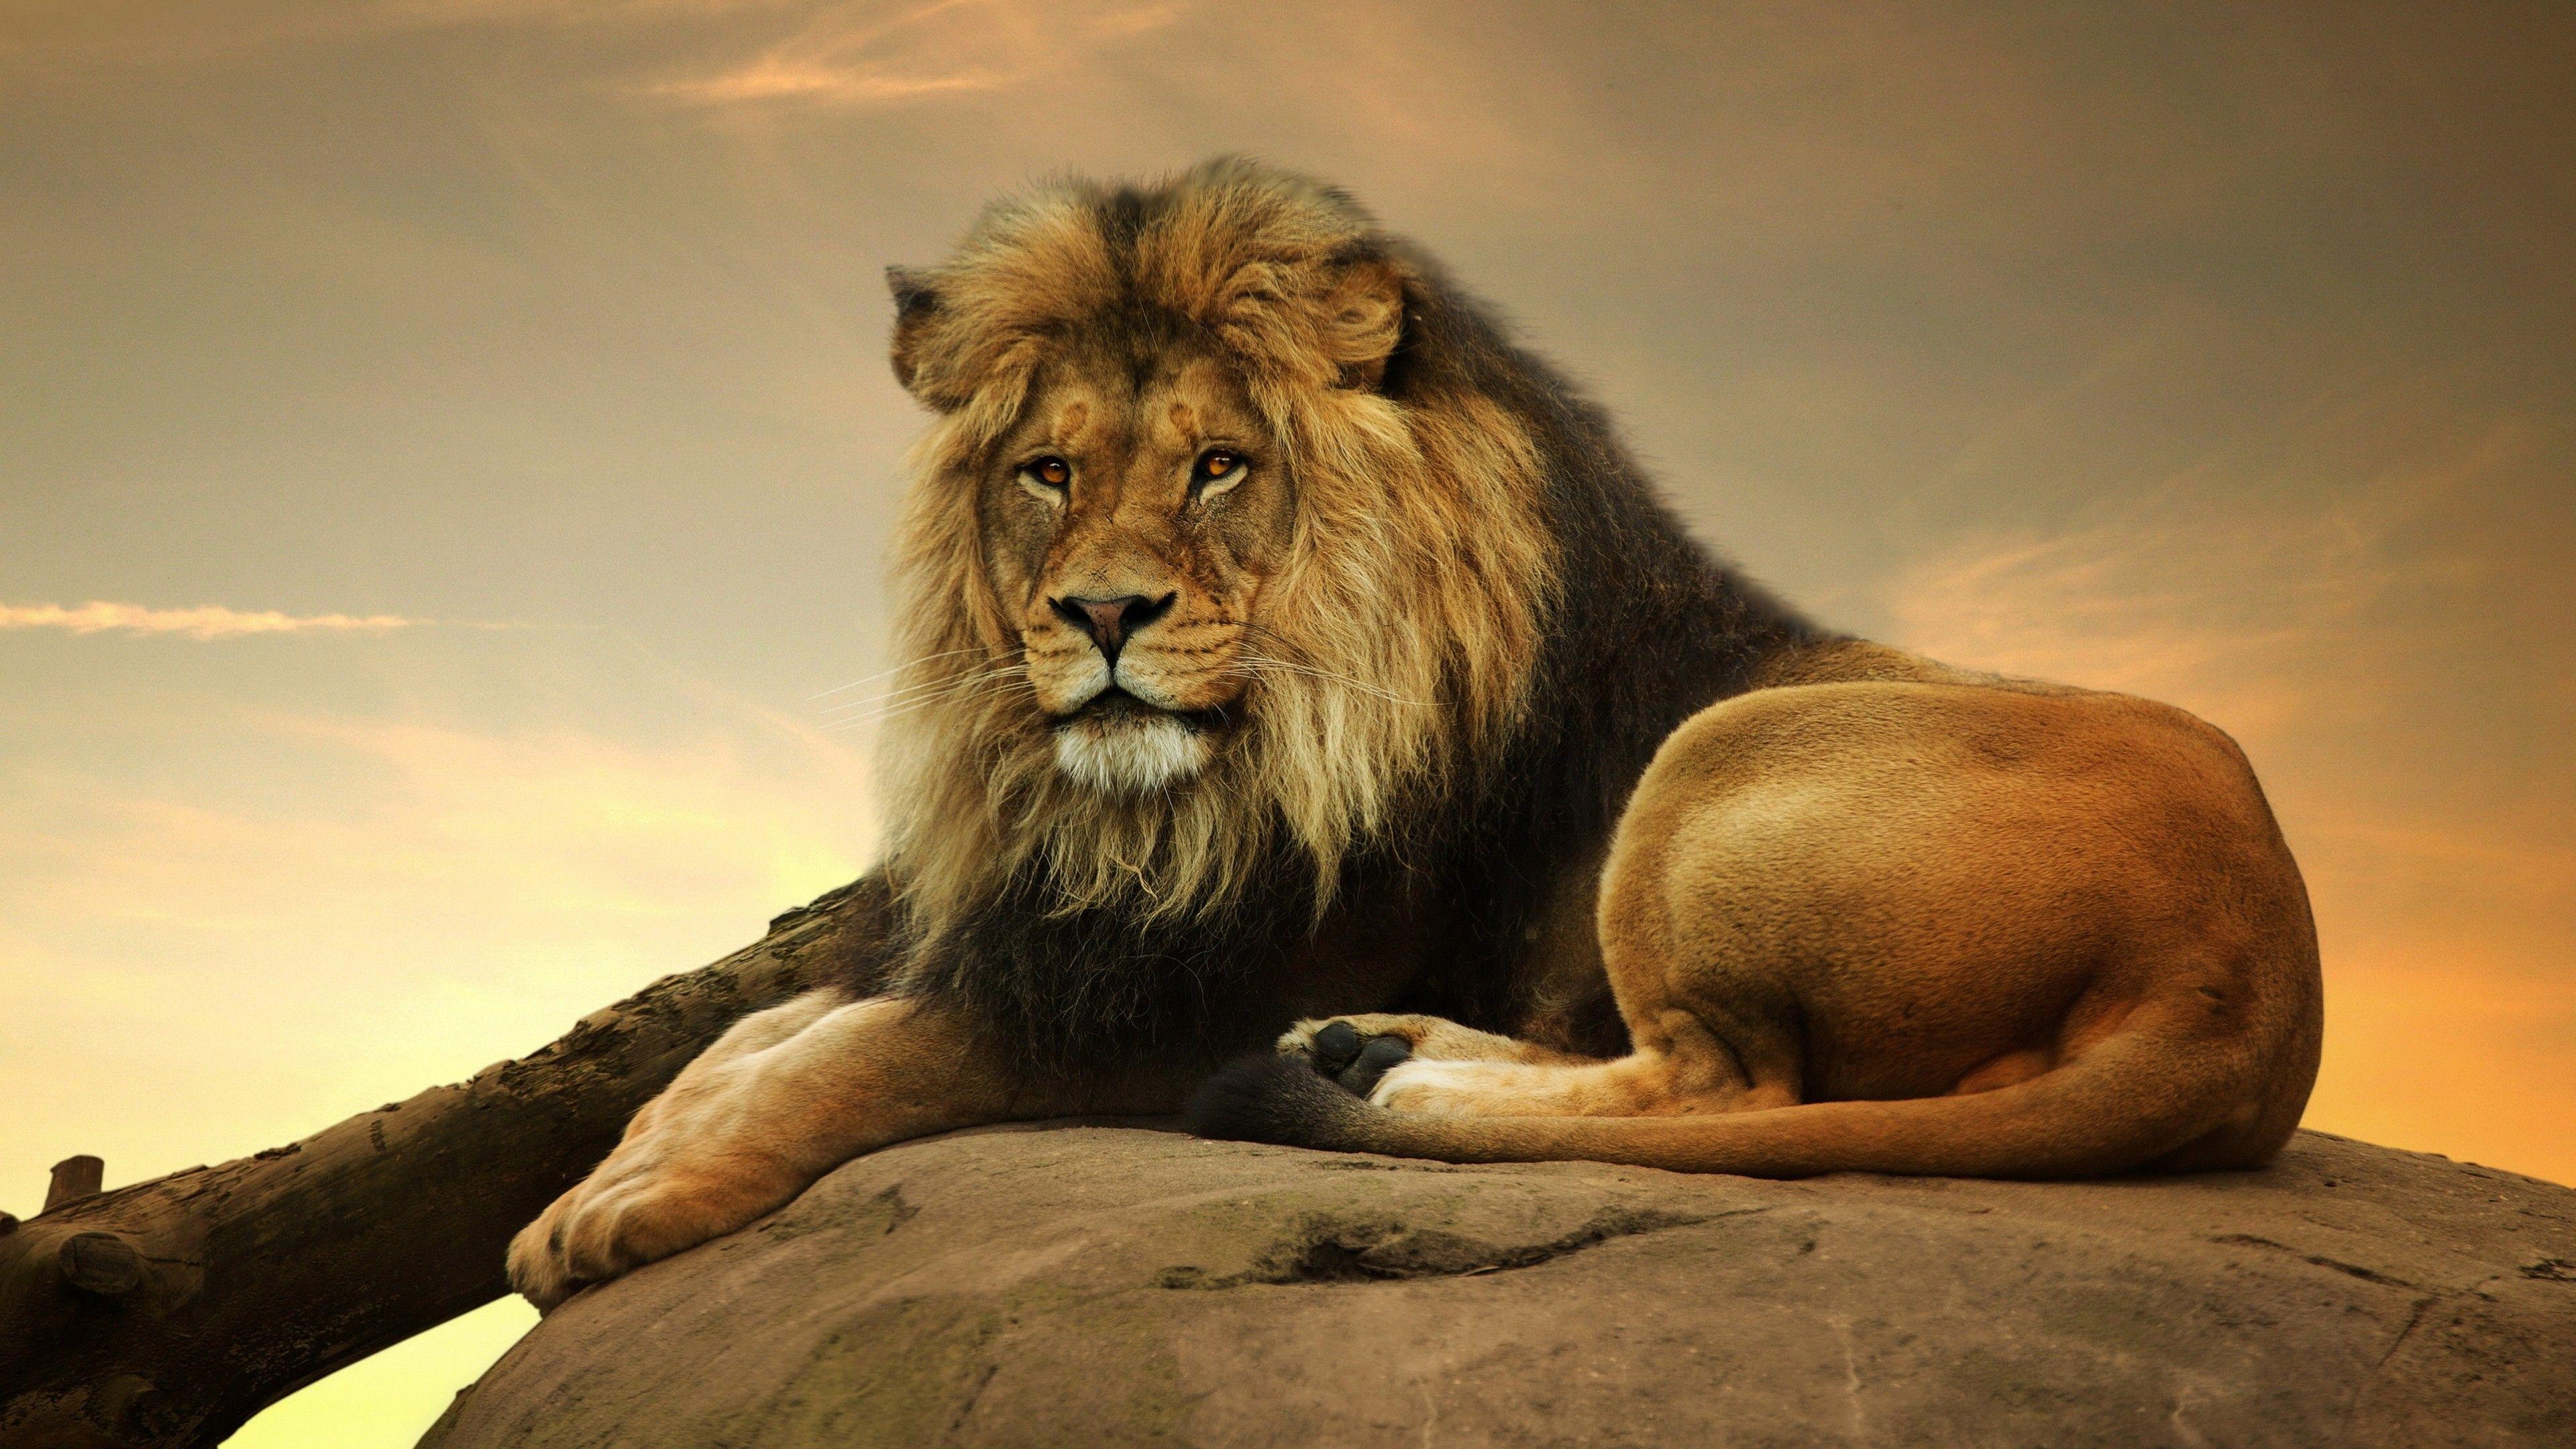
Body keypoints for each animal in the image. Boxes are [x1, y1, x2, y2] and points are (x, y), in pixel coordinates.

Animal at [506, 158, 2323, 1310]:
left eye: (1217, 468)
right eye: (1047, 473)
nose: (1102, 617)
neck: (1165, 803)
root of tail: (2252, 984)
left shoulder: (1174, 992)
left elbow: (866, 1054)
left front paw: (636, 1204)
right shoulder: (1050, 927)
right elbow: (756, 1035)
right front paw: (609, 1170)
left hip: (1713, 764)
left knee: (1717, 1085)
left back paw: (1374, 1066)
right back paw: (1372, 1054)